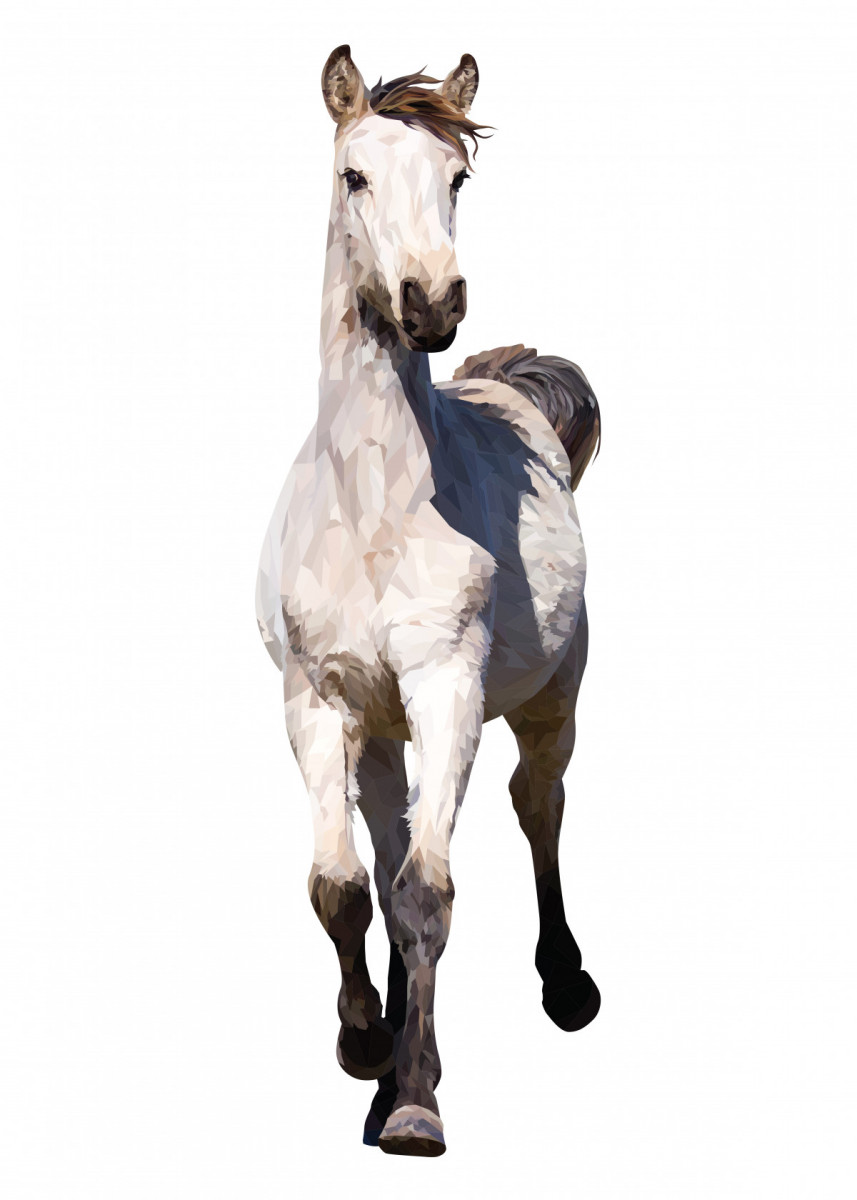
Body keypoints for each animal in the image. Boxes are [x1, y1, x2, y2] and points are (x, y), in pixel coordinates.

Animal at [256, 46, 602, 1157]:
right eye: (354, 175)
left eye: (457, 178)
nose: (431, 303)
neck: (376, 507)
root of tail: (510, 391)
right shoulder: (319, 701)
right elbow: (343, 886)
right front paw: (365, 1045)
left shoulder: (447, 689)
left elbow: (426, 893)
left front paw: (412, 1103)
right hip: (377, 732)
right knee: (385, 845)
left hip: (548, 702)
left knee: (537, 808)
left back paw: (565, 983)